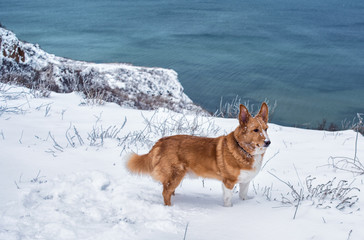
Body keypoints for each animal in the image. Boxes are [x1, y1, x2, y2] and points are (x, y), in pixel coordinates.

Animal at [126, 102, 270, 206]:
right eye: (255, 130)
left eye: (266, 129)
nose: (268, 142)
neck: (244, 149)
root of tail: (160, 142)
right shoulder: (228, 182)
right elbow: (228, 200)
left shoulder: (245, 182)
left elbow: (243, 196)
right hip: (176, 174)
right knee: (165, 192)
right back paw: (170, 207)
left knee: (168, 189)